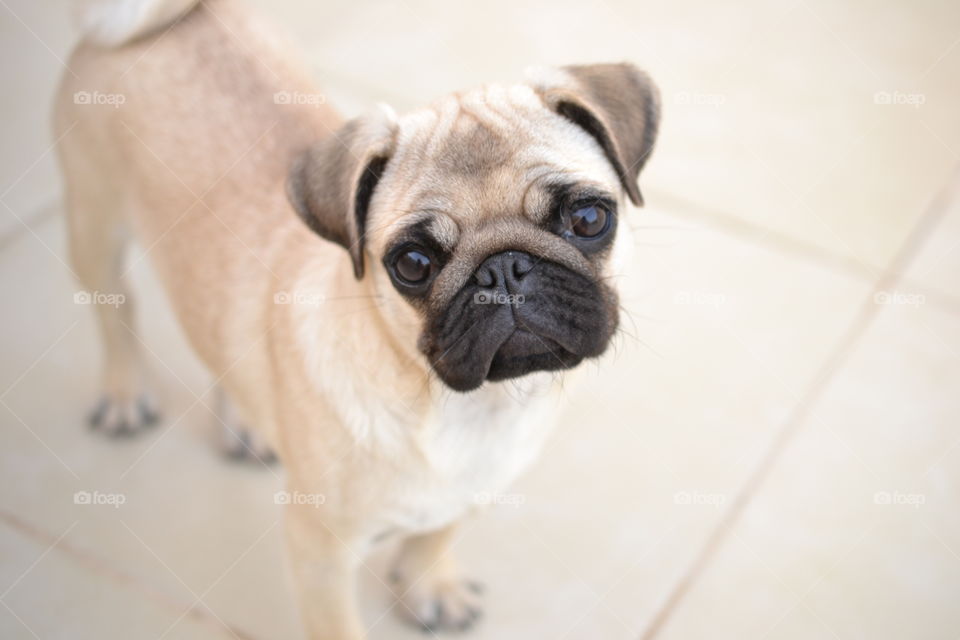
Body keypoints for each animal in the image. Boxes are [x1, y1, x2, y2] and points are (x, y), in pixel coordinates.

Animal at [54, 0, 660, 636]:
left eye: (589, 218)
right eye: (413, 263)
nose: (503, 270)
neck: (465, 410)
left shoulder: (469, 493)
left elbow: (432, 536)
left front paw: (429, 584)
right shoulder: (320, 555)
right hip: (93, 226)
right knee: (116, 313)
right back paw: (125, 395)